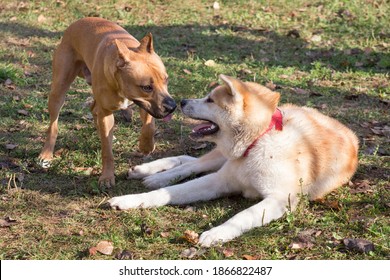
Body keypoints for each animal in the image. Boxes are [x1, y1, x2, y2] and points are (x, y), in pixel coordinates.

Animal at [37, 18, 175, 188]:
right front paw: (107, 177)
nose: (172, 107)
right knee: (53, 126)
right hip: (58, 91)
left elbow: (149, 126)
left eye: (166, 79)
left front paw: (146, 145)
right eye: (146, 87)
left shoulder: (146, 106)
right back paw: (46, 154)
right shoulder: (109, 113)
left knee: (94, 109)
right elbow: (107, 152)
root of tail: (77, 22)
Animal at [108, 75, 358, 247]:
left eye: (210, 100)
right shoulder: (219, 181)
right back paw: (151, 174)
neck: (256, 143)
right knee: (191, 163)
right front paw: (131, 200)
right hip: (219, 157)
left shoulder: (279, 200)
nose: (181, 101)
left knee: (191, 162)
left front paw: (216, 233)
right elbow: (169, 192)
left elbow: (241, 216)